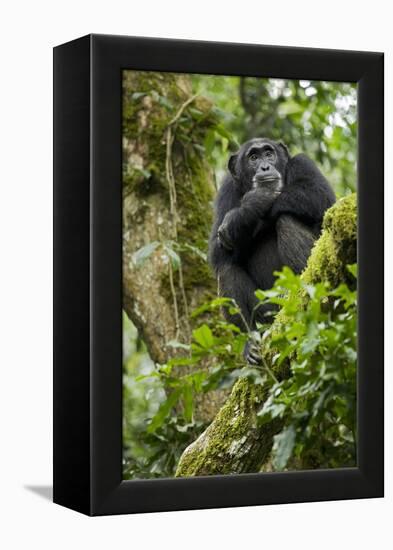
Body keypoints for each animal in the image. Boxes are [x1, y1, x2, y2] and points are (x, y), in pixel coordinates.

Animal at [208, 137, 334, 366]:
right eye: (253, 157)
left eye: (269, 153)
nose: (265, 166)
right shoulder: (226, 190)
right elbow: (217, 251)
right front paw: (252, 205)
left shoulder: (304, 163)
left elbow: (320, 195)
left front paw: (248, 208)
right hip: (266, 314)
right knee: (227, 269)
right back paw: (250, 344)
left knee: (286, 220)